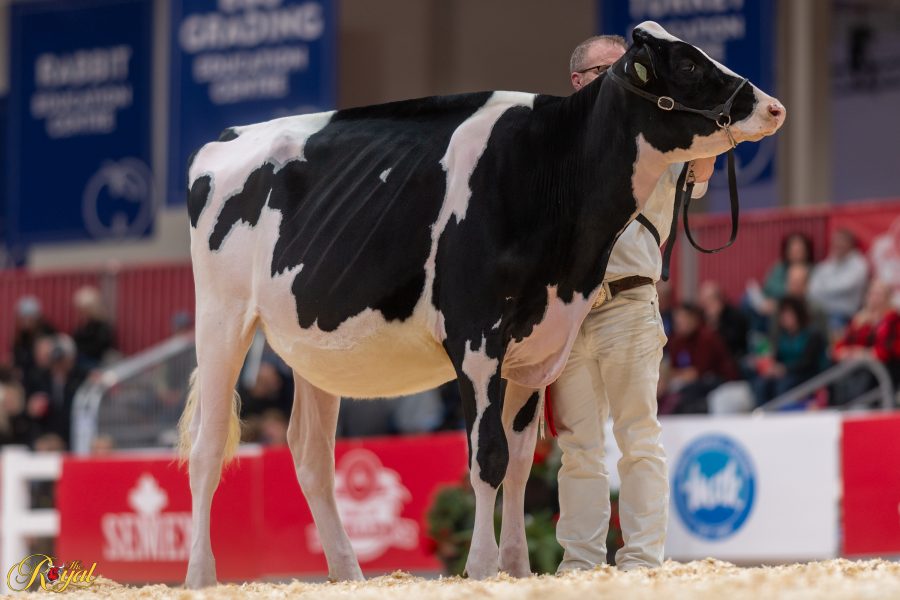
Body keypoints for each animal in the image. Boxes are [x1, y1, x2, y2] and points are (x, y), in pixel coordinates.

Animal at [177, 21, 785, 587]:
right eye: (687, 63)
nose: (774, 107)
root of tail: (229, 136)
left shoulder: (535, 345)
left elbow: (519, 461)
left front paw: (517, 567)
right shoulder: (475, 336)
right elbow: (487, 457)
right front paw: (481, 567)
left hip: (313, 345)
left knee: (310, 456)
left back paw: (348, 575)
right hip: (222, 318)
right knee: (208, 448)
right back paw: (201, 577)